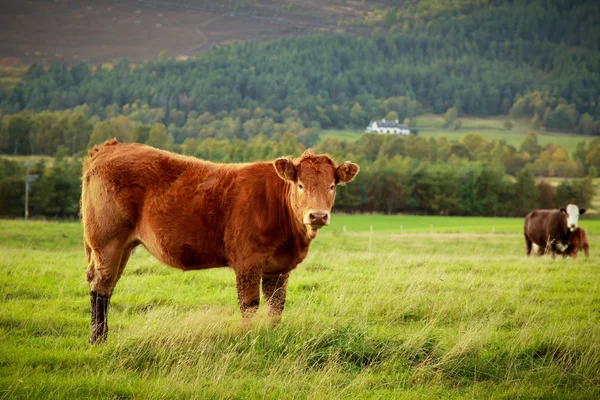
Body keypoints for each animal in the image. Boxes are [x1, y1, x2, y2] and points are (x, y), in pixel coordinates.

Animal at [81, 139, 358, 342]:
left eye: (332, 185)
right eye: (300, 185)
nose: (318, 215)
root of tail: (111, 146)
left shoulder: (279, 267)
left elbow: (276, 305)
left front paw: (273, 336)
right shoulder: (247, 262)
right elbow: (249, 304)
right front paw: (248, 338)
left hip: (122, 247)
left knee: (109, 286)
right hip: (106, 243)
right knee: (100, 285)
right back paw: (98, 340)